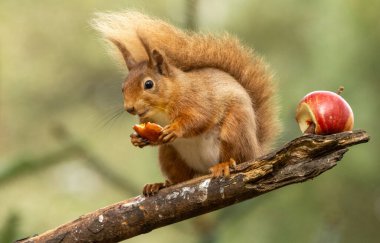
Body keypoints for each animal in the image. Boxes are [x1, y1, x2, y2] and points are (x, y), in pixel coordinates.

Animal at [93, 11, 280, 196]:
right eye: (122, 88)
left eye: (149, 84)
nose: (129, 108)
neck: (162, 108)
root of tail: (256, 150)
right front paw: (137, 139)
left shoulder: (197, 100)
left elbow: (199, 119)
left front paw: (175, 129)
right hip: (169, 154)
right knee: (181, 178)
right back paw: (160, 185)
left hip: (235, 130)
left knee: (238, 157)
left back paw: (224, 164)